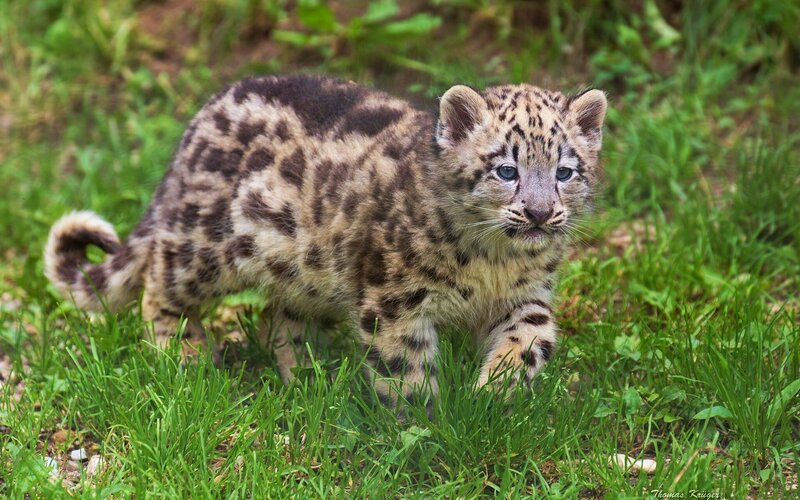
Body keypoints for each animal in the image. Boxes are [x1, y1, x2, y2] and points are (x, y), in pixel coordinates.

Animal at [45, 74, 607, 408]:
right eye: (506, 169)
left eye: (565, 171)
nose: (539, 213)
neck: (493, 262)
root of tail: (195, 126)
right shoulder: (395, 299)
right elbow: (404, 366)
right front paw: (423, 421)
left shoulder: (527, 293)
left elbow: (531, 338)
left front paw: (495, 391)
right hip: (204, 246)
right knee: (161, 279)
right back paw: (185, 354)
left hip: (305, 273)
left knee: (280, 319)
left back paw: (308, 377)